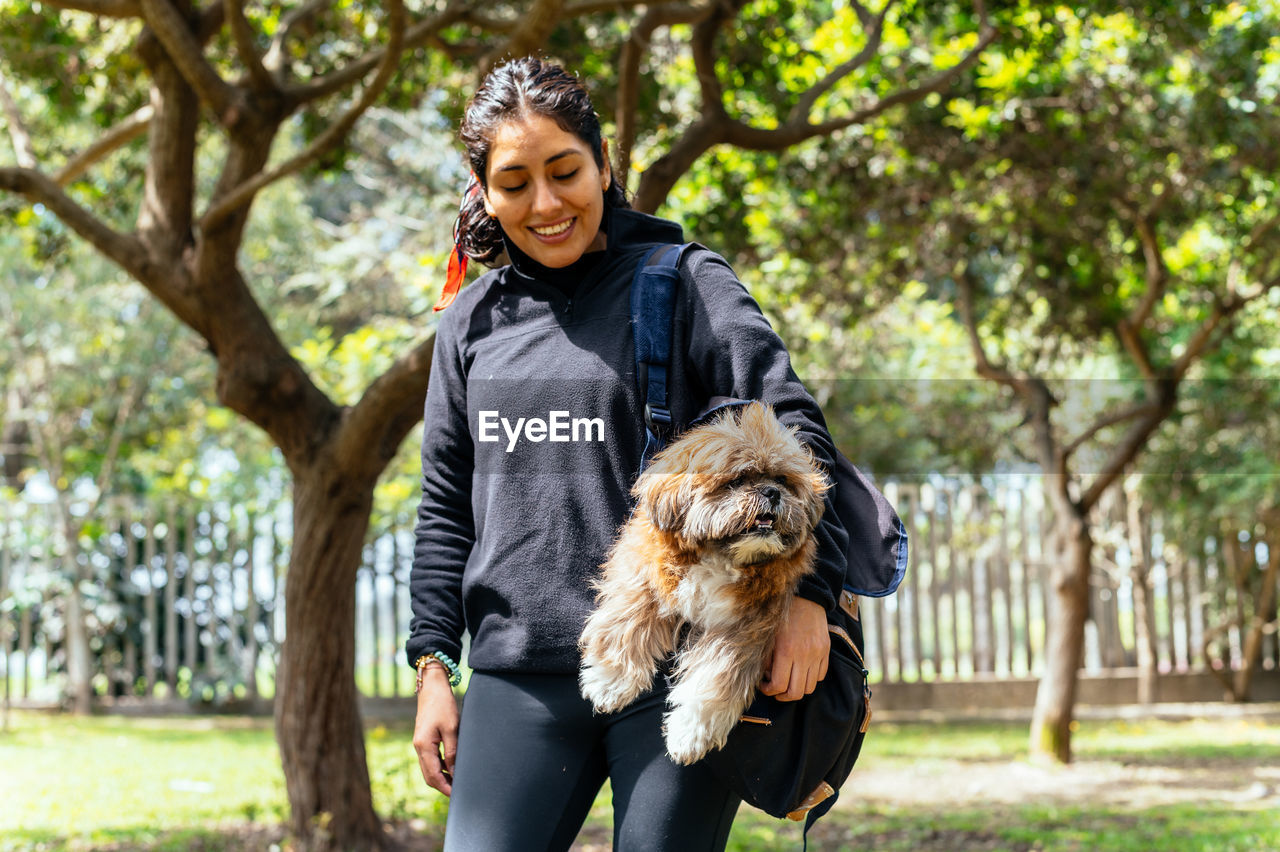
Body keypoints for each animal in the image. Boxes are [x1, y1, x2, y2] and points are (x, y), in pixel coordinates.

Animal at [581, 399, 829, 762]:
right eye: (738, 480)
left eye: (783, 480)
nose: (772, 492)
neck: (718, 556)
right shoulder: (645, 576)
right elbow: (626, 623)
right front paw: (610, 680)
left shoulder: (742, 626)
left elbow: (716, 675)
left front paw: (691, 732)